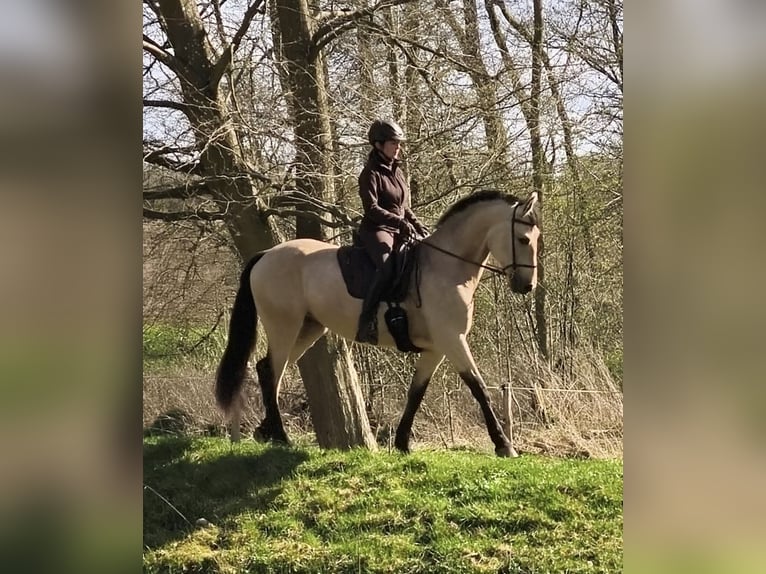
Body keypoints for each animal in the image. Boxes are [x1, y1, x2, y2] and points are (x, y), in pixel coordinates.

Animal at [215, 190, 540, 457]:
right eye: (523, 239)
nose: (527, 286)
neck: (447, 267)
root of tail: (266, 254)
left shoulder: (436, 348)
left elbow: (416, 392)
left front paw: (402, 443)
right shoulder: (452, 339)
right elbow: (478, 386)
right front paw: (504, 445)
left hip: (308, 328)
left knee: (269, 370)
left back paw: (266, 431)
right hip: (284, 326)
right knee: (271, 370)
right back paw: (280, 436)